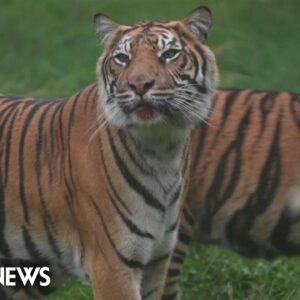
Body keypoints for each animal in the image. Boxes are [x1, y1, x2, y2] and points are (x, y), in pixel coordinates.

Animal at [0, 4, 218, 300]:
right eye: (123, 58)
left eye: (169, 54)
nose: (139, 84)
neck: (162, 148)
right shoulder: (112, 265)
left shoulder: (157, 262)